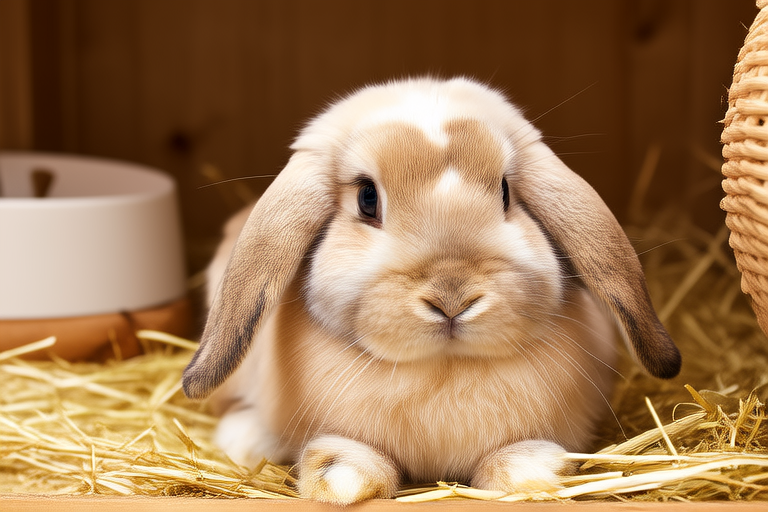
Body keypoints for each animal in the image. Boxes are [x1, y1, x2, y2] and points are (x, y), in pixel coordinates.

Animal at [183, 77, 681, 504]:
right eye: (367, 198)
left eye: (505, 192)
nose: (452, 297)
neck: (443, 370)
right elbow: (346, 453)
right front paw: (340, 480)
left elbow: (518, 455)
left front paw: (533, 476)